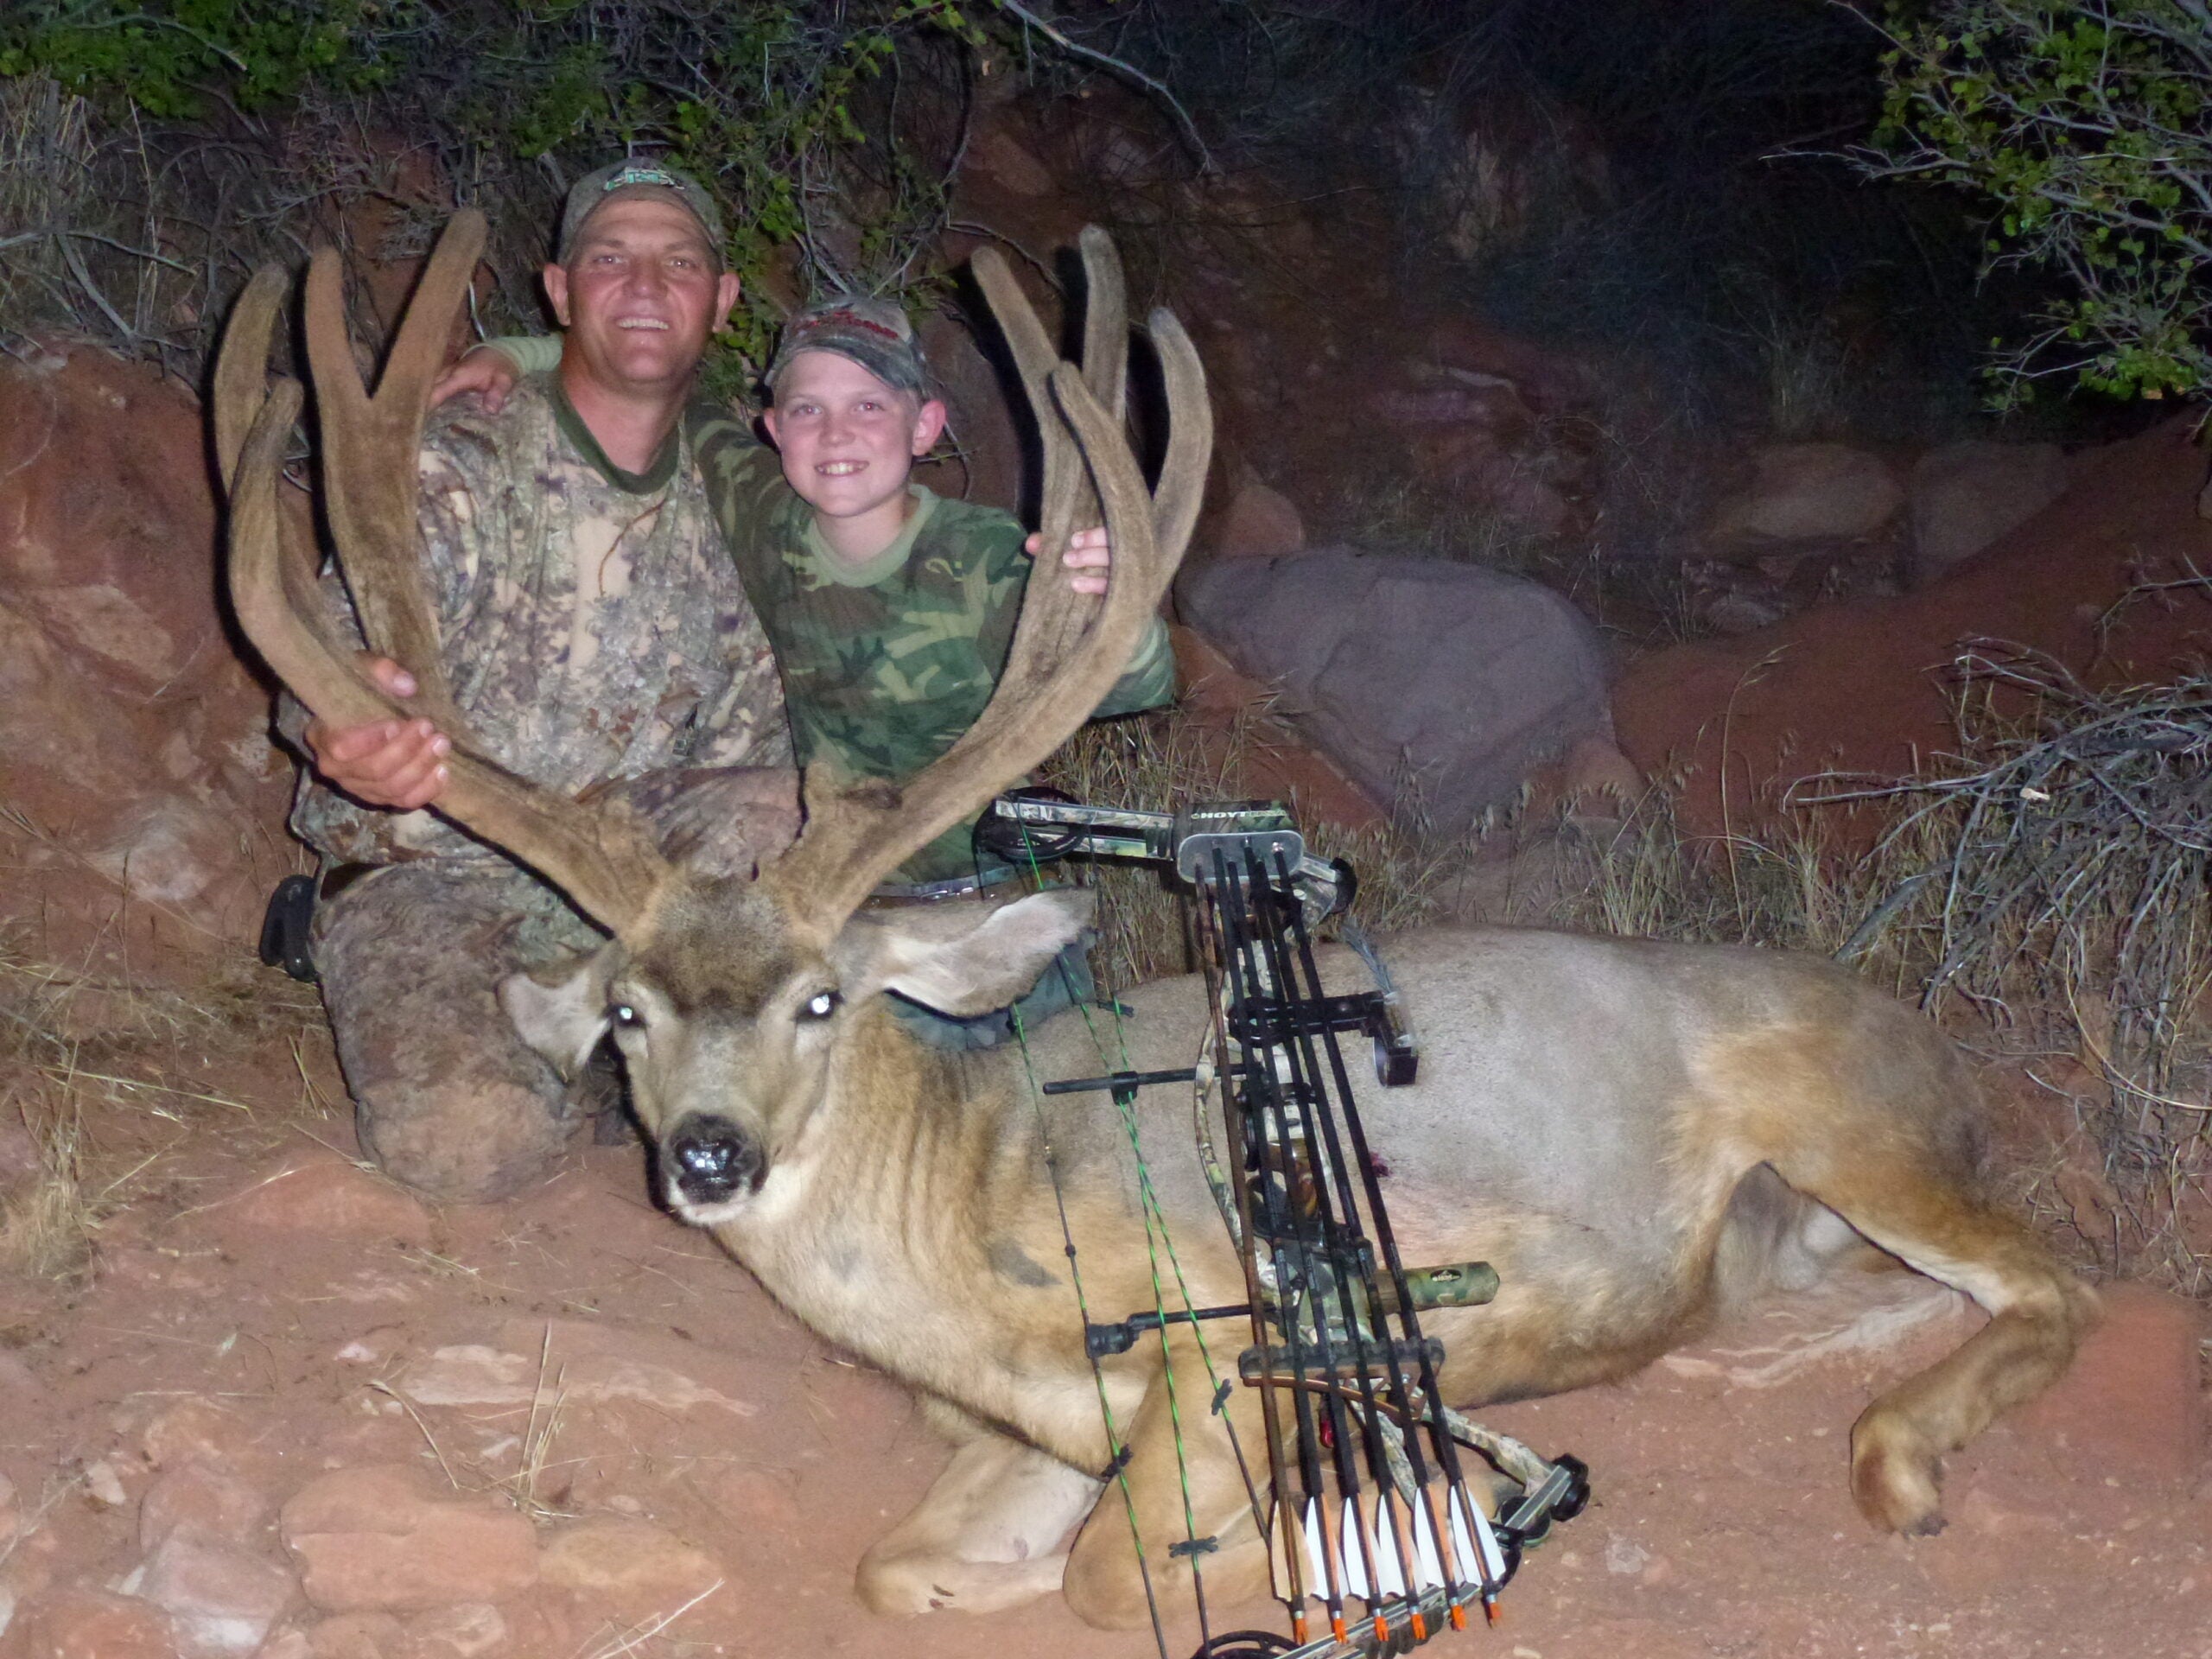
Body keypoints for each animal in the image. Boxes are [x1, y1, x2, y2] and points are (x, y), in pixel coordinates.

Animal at [214, 209, 2098, 1633]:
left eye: (824, 998)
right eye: (625, 1013)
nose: (706, 1157)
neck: (973, 1237)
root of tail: (1933, 1047)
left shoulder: (1225, 1329)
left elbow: (1122, 1583)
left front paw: (1376, 1538)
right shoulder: (1025, 1431)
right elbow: (900, 1569)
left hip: (1854, 1124)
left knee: (2051, 1277)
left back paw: (1896, 1462)